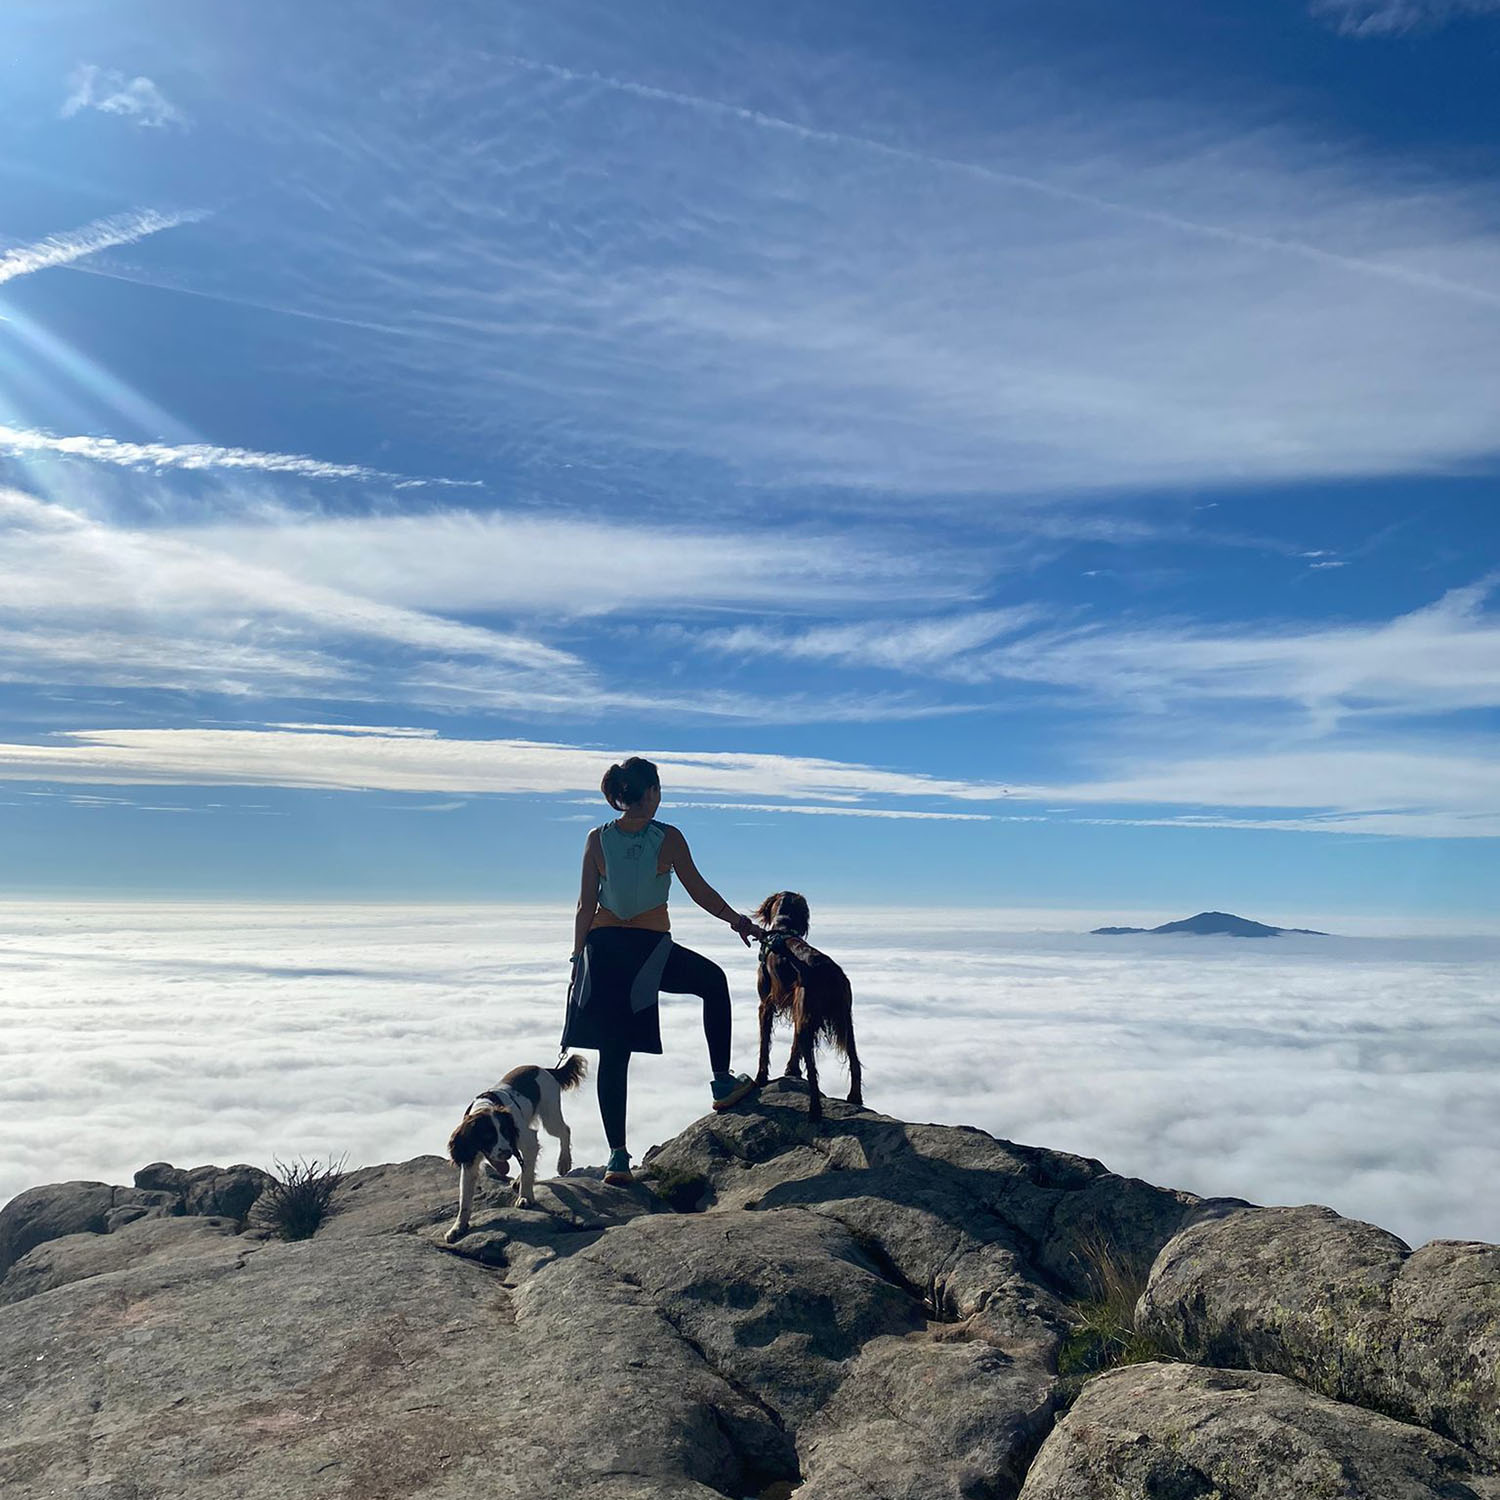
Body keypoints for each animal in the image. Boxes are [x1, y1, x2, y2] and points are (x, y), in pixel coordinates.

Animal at [756, 882, 864, 1122]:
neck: (783, 929)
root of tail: (831, 973)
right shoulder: (798, 1012)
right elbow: (793, 1045)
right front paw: (792, 1070)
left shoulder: (766, 1004)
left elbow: (764, 1045)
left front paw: (760, 1078)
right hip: (844, 1019)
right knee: (854, 1059)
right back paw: (855, 1097)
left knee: (814, 1072)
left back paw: (814, 1111)